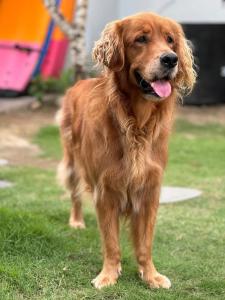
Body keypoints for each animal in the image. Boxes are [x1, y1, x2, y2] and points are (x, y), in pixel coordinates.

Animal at [57, 12, 196, 290]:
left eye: (170, 40)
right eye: (141, 39)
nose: (170, 59)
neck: (135, 124)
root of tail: (77, 83)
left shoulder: (149, 189)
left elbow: (145, 243)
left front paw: (150, 275)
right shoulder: (106, 189)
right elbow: (111, 242)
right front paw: (109, 274)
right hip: (73, 163)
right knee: (75, 195)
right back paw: (76, 221)